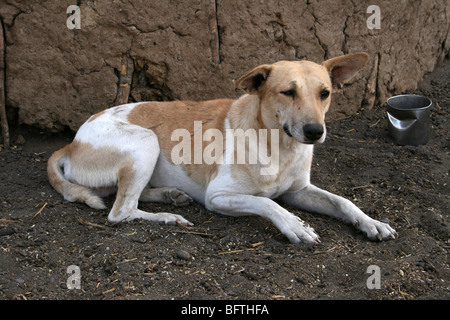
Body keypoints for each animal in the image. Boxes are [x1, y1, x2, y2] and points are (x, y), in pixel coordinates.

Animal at [47, 53, 396, 242]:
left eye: (325, 93)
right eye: (287, 92)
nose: (315, 131)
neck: (278, 147)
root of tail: (71, 142)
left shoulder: (298, 191)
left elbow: (342, 201)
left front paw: (372, 223)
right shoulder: (218, 196)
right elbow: (267, 203)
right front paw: (294, 225)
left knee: (127, 196)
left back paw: (169, 195)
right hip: (146, 141)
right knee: (120, 211)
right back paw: (168, 216)